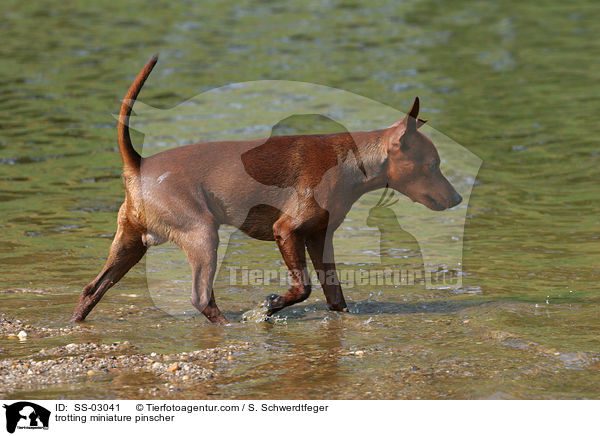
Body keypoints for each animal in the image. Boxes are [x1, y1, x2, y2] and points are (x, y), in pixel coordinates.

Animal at [71, 55, 464, 324]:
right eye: (433, 164)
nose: (459, 197)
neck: (351, 159)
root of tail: (138, 164)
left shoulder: (319, 237)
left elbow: (334, 293)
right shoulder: (286, 231)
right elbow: (303, 287)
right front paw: (271, 306)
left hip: (130, 245)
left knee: (92, 289)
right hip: (202, 234)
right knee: (201, 297)